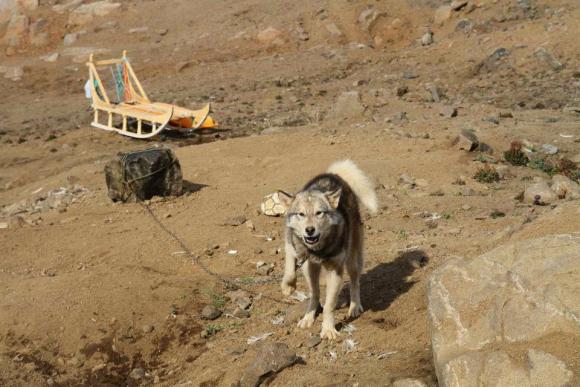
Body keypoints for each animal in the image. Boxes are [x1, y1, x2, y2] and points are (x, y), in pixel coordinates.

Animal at [278, 160, 378, 340]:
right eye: (301, 214)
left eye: (319, 213)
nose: (310, 230)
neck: (316, 250)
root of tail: (333, 175)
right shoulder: (293, 245)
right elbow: (290, 266)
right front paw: (288, 286)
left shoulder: (335, 271)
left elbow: (330, 306)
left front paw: (328, 329)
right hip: (310, 268)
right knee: (315, 292)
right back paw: (308, 317)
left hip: (352, 260)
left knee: (355, 282)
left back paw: (354, 307)